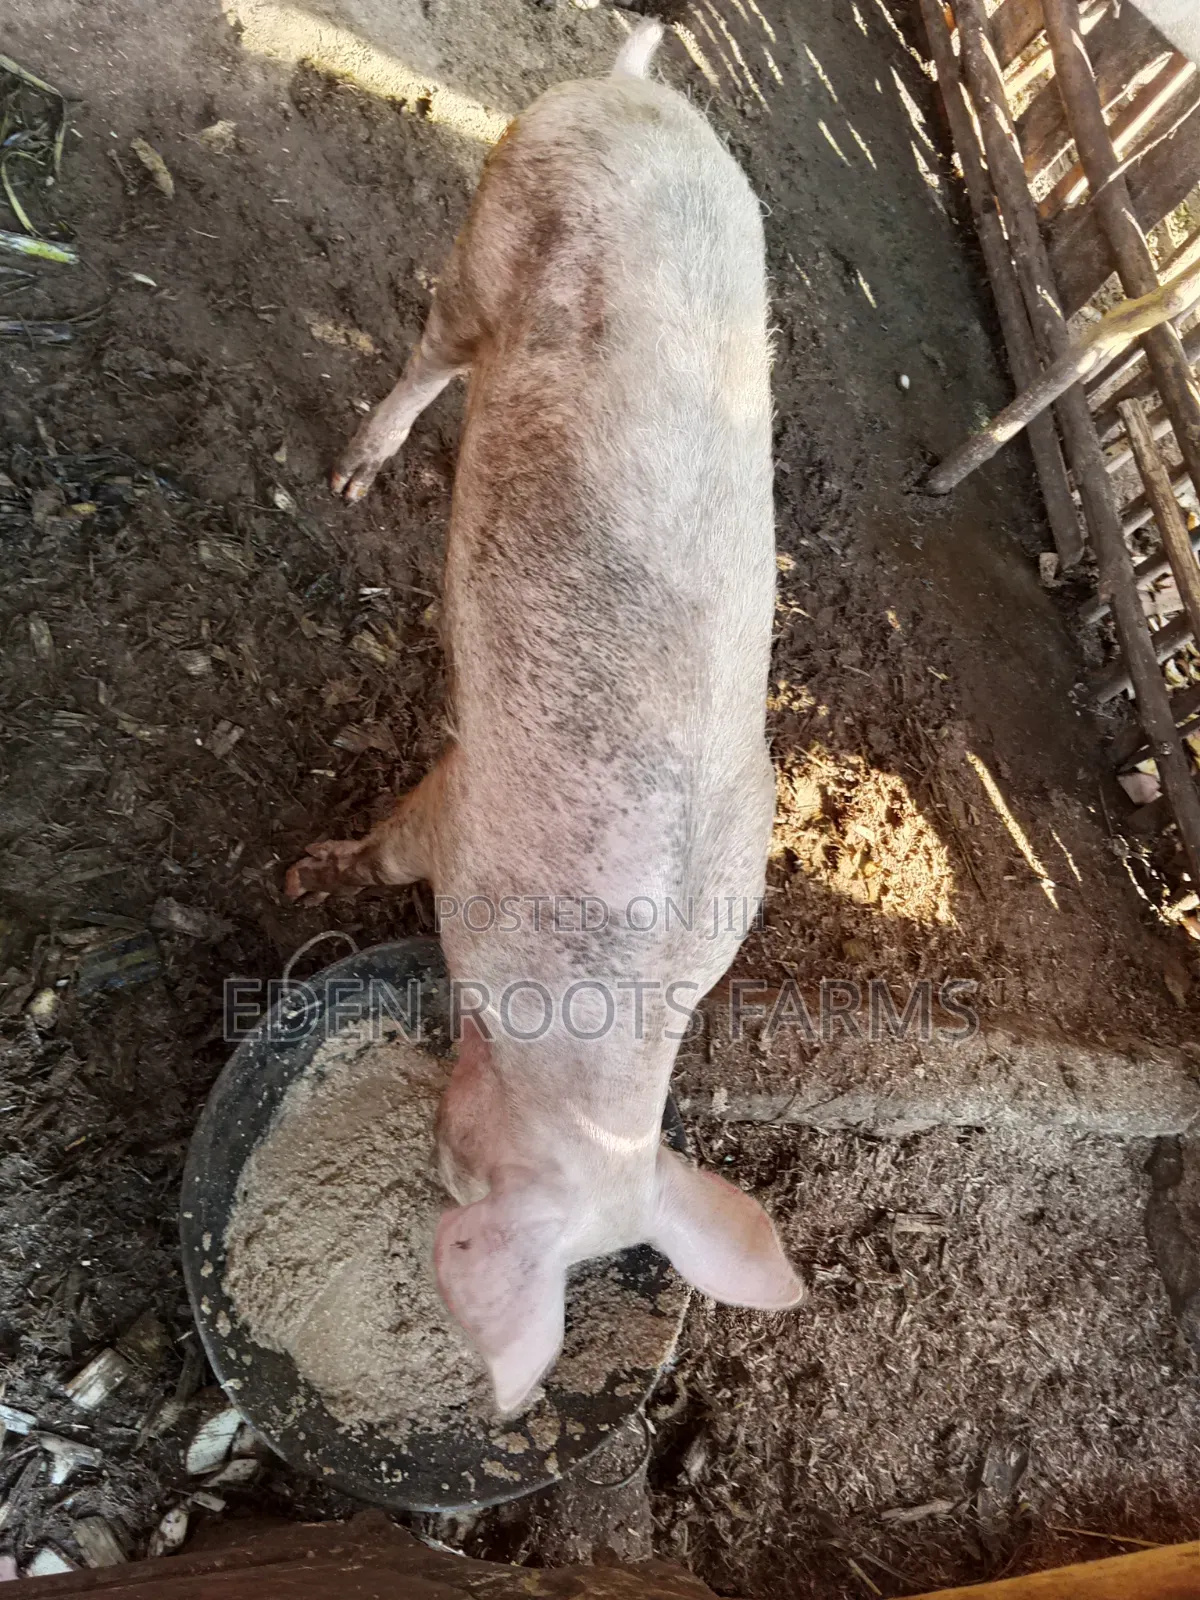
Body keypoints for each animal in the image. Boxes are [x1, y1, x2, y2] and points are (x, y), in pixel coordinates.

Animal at [286, 18, 803, 1414]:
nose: (438, 1162)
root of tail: (628, 92)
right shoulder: (463, 810)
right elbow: (389, 845)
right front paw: (309, 875)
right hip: (493, 223)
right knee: (435, 344)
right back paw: (351, 478)